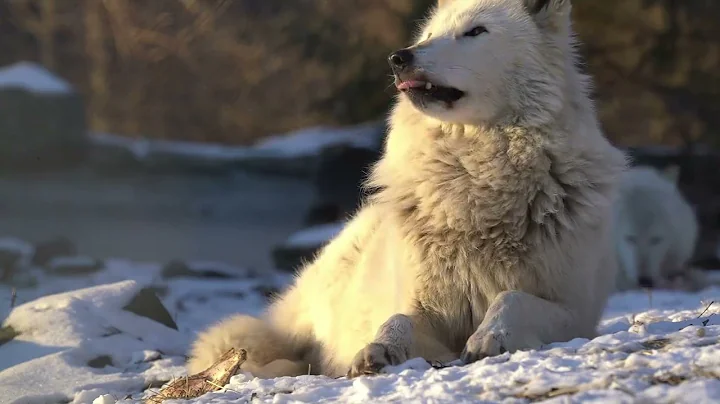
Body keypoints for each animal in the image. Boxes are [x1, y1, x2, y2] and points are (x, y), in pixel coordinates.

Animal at [187, 0, 627, 379]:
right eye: (430, 33)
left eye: (475, 32)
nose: (400, 57)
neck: (477, 189)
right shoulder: (424, 306)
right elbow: (397, 318)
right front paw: (379, 348)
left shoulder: (575, 310)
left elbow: (511, 298)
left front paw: (490, 336)